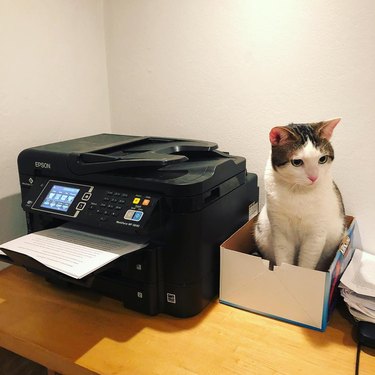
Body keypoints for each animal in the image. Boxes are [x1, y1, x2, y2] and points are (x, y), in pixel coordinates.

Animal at [256, 119, 346, 272]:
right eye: (297, 162)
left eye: (322, 159)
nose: (314, 177)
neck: (299, 191)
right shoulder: (280, 232)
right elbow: (283, 260)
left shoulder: (315, 235)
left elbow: (306, 264)